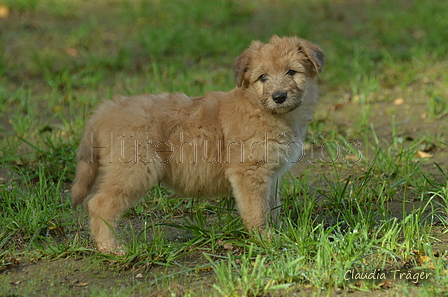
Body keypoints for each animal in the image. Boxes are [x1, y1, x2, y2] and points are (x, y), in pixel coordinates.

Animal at [72, 34, 326, 252]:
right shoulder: (249, 173)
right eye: (262, 77)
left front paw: (280, 233)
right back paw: (112, 249)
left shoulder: (271, 175)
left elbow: (272, 206)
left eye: (292, 72)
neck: (259, 107)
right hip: (134, 171)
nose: (279, 97)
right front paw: (265, 239)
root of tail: (104, 110)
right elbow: (257, 211)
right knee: (99, 204)